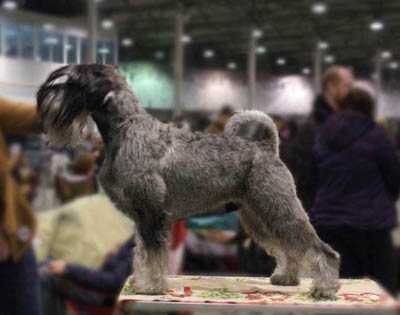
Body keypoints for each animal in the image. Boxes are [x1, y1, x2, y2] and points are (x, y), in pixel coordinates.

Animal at [36, 65, 340, 302]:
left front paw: (151, 287)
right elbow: (142, 253)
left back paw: (325, 288)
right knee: (287, 245)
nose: (42, 98)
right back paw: (287, 276)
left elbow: (154, 255)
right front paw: (142, 282)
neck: (126, 127)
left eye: (71, 81)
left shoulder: (153, 215)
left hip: (277, 207)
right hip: (258, 215)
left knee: (317, 247)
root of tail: (267, 147)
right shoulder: (143, 218)